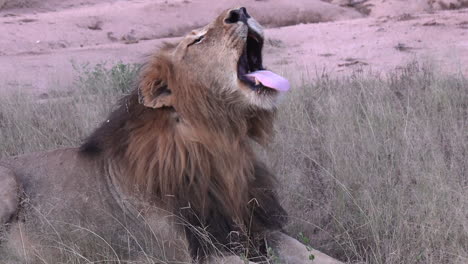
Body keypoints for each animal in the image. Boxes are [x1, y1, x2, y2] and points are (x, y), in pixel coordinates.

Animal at [1, 7, 342, 264]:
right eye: (196, 41)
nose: (241, 11)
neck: (222, 142)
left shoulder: (251, 226)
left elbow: (318, 254)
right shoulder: (190, 249)